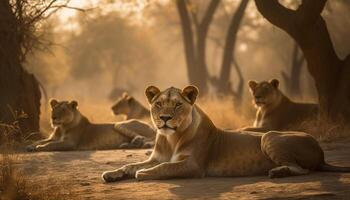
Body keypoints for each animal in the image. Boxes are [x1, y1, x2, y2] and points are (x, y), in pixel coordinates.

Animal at [26, 98, 154, 152]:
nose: (53, 117)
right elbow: (41, 140)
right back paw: (128, 144)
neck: (61, 127)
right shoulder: (53, 138)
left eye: (63, 110)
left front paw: (39, 147)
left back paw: (141, 142)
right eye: (54, 108)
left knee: (148, 138)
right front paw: (31, 146)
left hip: (119, 124)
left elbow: (51, 145)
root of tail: (151, 126)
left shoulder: (70, 143)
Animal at [101, 85, 350, 182]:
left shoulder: (193, 166)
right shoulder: (156, 157)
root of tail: (321, 152)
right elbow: (129, 164)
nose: (164, 118)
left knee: (302, 169)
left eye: (178, 105)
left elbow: (164, 168)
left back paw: (277, 172)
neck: (170, 139)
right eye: (159, 104)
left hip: (269, 135)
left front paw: (143, 173)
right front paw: (112, 173)